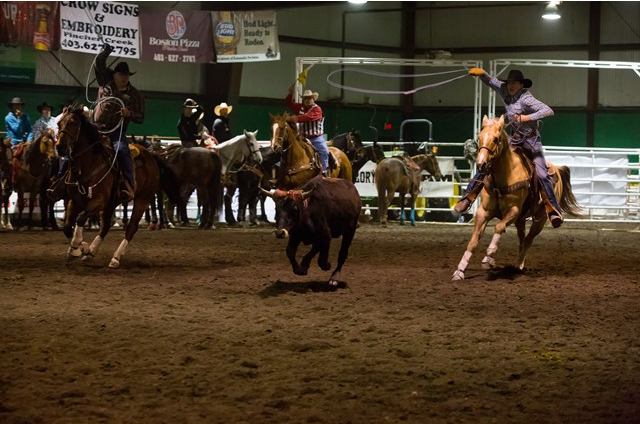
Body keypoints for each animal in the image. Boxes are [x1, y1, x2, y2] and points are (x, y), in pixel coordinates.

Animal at [56, 104, 161, 268]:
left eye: (73, 123)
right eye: (59, 123)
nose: (60, 147)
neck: (89, 165)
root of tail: (151, 155)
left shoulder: (98, 201)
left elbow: (80, 218)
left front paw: (77, 247)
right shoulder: (75, 200)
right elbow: (67, 226)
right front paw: (81, 248)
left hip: (142, 199)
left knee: (131, 228)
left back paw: (115, 258)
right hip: (112, 203)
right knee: (105, 226)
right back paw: (90, 253)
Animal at [452, 115, 581, 281]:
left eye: (496, 139)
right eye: (479, 137)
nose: (481, 164)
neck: (504, 178)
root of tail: (556, 169)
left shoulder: (513, 211)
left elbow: (499, 227)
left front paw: (488, 258)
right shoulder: (483, 212)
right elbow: (473, 241)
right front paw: (460, 270)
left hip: (540, 219)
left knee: (528, 239)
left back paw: (519, 264)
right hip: (521, 219)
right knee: (522, 238)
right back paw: (518, 264)